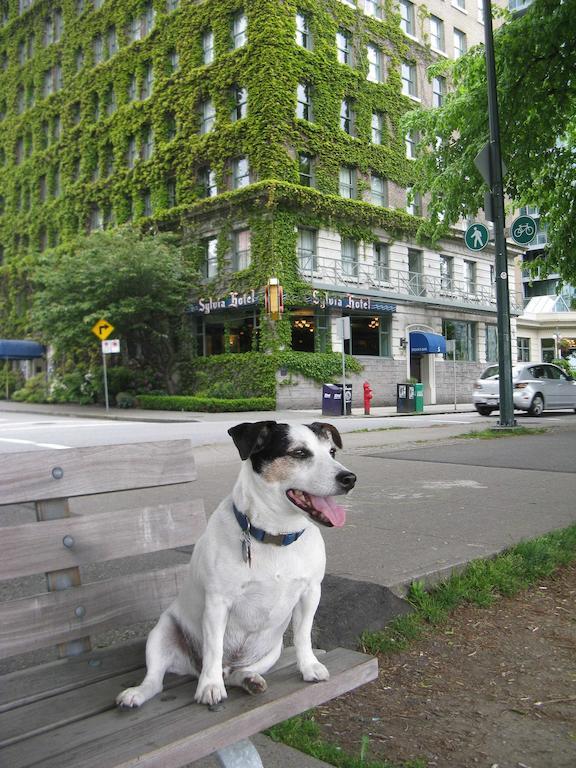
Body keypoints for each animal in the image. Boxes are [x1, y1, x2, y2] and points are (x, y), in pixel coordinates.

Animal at [116, 420, 356, 708]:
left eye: (332, 451)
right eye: (299, 453)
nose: (349, 478)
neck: (276, 537)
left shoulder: (310, 592)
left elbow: (303, 634)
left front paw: (309, 666)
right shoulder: (218, 603)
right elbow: (214, 647)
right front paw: (209, 687)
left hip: (271, 651)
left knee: (235, 673)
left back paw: (248, 679)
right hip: (161, 633)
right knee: (157, 679)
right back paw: (139, 693)